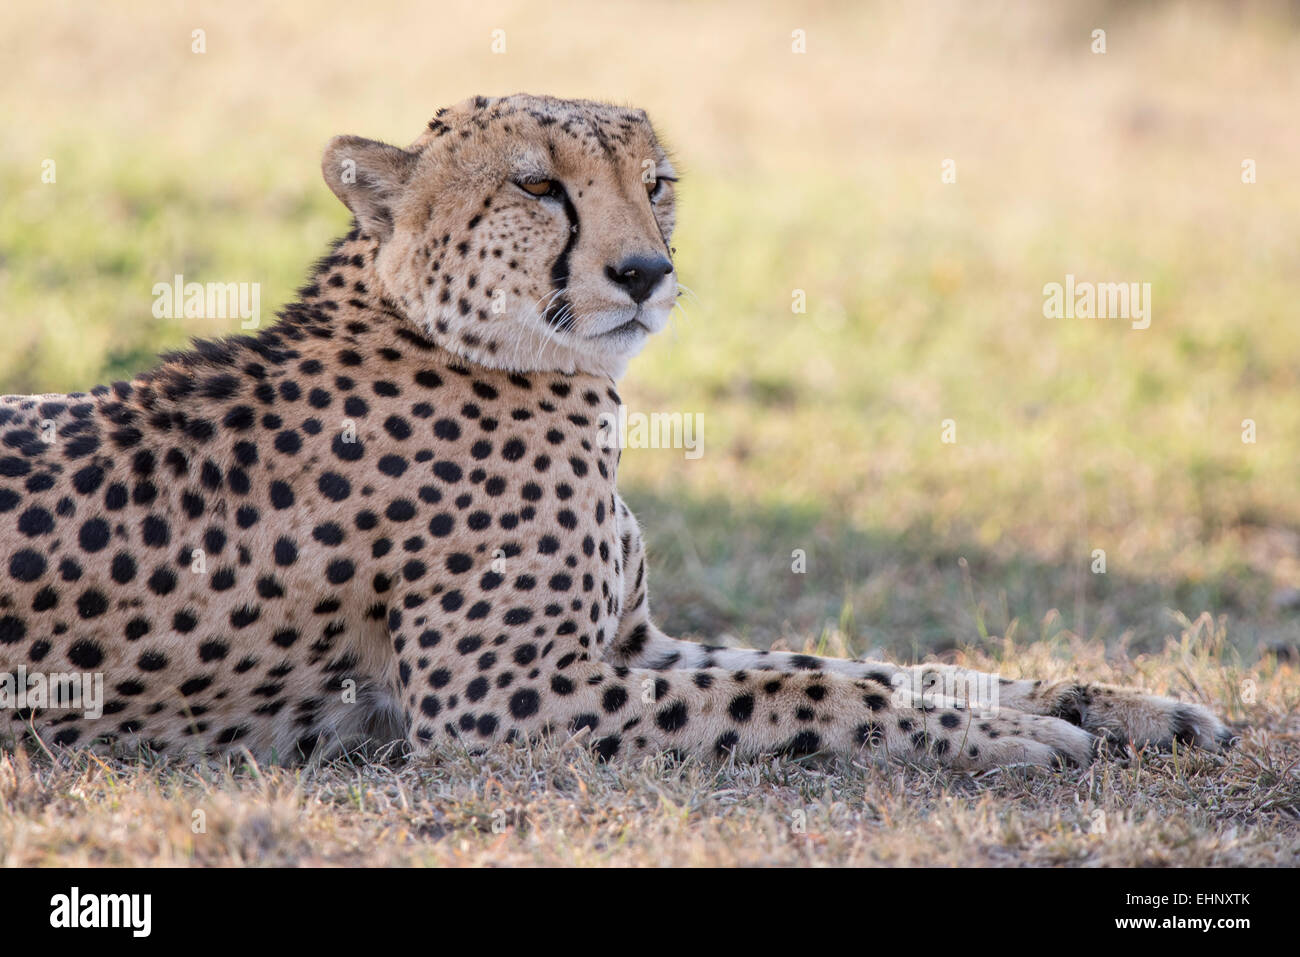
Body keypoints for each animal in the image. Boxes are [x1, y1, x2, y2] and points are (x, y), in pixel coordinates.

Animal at [2, 95, 1237, 769]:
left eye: (658, 183)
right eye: (538, 188)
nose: (645, 270)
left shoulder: (630, 644)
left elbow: (872, 664)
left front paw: (1120, 706)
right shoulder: (504, 699)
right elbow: (809, 694)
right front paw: (1004, 743)